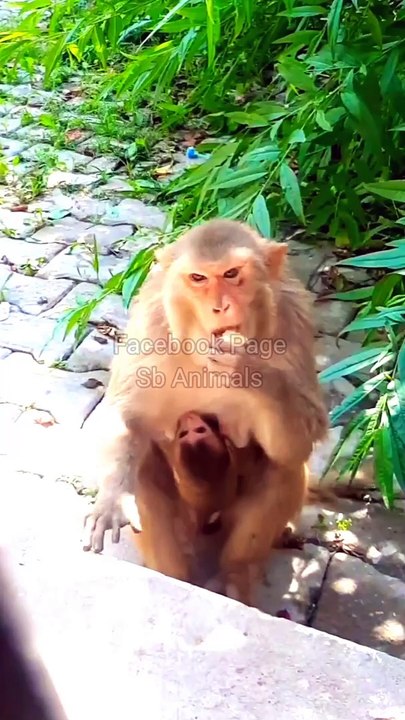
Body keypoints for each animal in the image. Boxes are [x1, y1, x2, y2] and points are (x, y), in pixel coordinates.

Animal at [82, 218, 329, 606]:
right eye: (198, 278)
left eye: (232, 273)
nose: (220, 307)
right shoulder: (152, 324)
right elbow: (125, 418)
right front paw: (111, 500)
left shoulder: (293, 319)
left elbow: (301, 438)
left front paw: (245, 367)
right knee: (145, 469)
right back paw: (175, 577)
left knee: (282, 467)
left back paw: (234, 576)